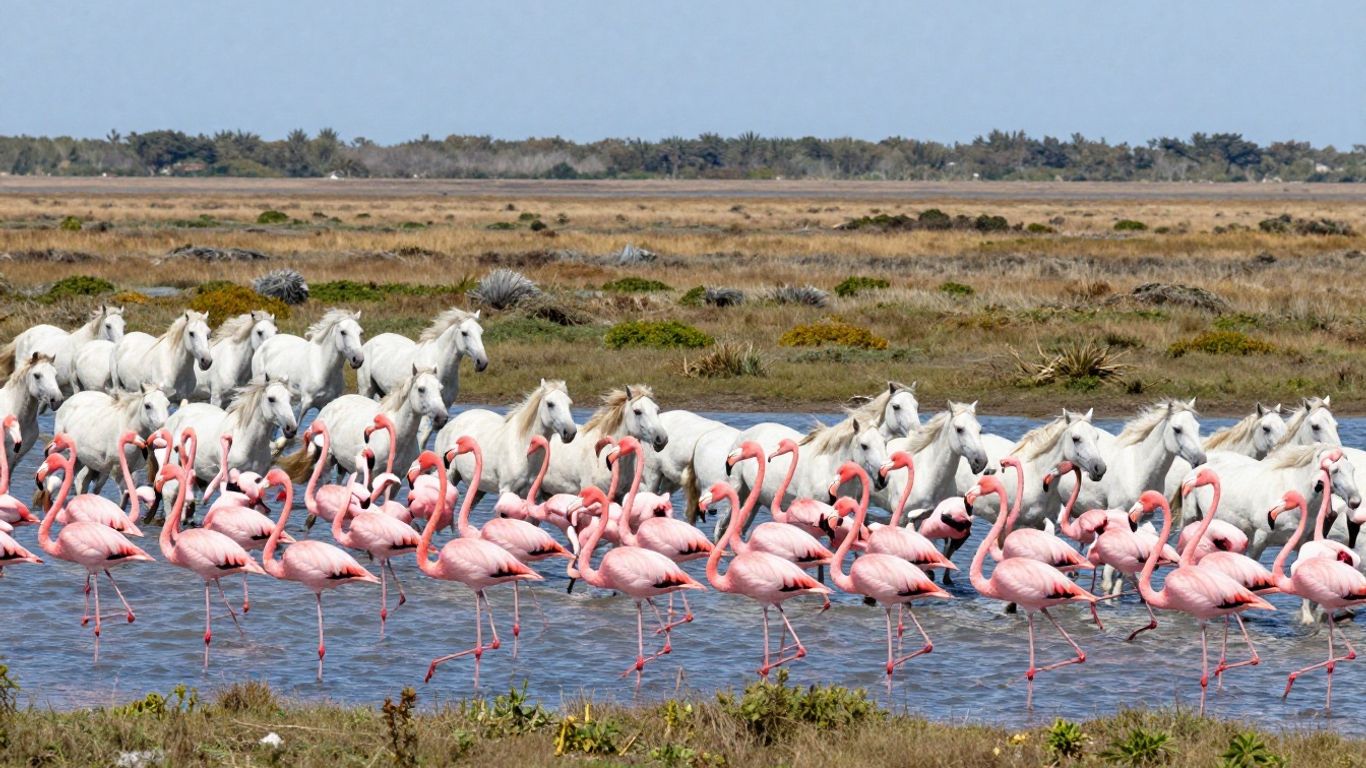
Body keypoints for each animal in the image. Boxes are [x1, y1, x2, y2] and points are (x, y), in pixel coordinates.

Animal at [282, 365, 446, 484]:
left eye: (440, 389)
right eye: (421, 389)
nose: (442, 418)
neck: (394, 437)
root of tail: (329, 406)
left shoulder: (395, 481)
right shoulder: (367, 478)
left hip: (342, 465)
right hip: (328, 460)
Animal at [357, 307, 487, 447]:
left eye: (481, 332)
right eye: (464, 333)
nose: (482, 363)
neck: (439, 364)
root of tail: (368, 343)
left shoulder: (442, 407)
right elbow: (422, 436)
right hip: (366, 389)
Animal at [438, 379, 578, 502]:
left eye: (569, 404)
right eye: (550, 404)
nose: (570, 433)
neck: (522, 450)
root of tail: (450, 424)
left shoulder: (531, 495)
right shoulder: (506, 490)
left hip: (478, 489)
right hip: (449, 475)